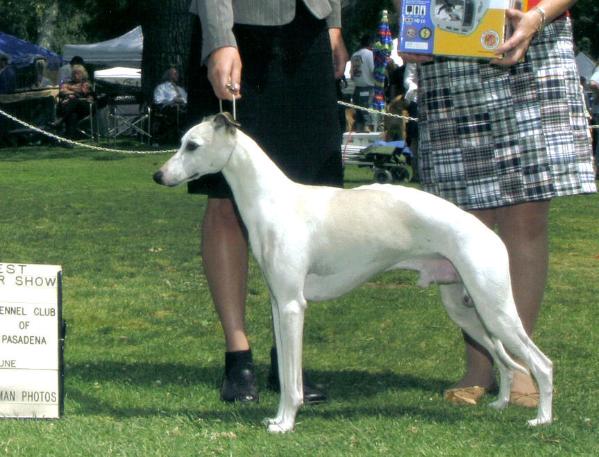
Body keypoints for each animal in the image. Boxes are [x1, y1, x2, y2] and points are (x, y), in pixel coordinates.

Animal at [154, 113, 552, 432]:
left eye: (192, 145)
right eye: (181, 142)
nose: (158, 175)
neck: (273, 199)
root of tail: (487, 232)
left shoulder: (293, 306)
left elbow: (292, 382)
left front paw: (286, 424)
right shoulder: (279, 303)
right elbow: (285, 372)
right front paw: (278, 418)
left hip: (494, 309)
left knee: (541, 364)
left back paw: (542, 419)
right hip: (467, 311)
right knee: (505, 361)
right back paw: (500, 403)